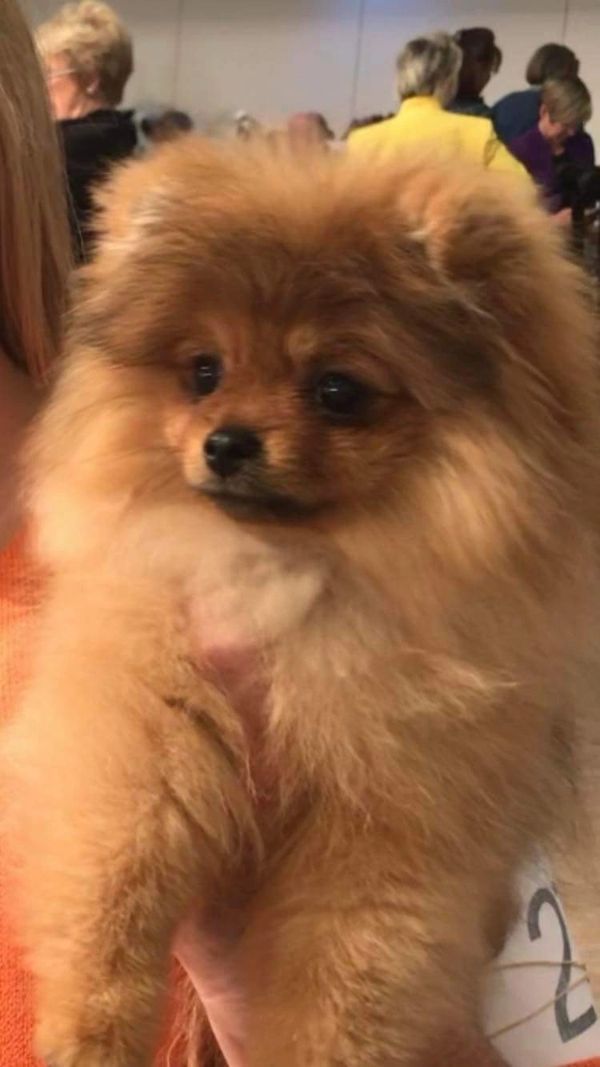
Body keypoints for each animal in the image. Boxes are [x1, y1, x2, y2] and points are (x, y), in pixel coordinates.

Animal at [4, 139, 600, 1067]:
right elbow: (110, 886)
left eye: (337, 390)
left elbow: (343, 981)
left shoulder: (394, 818)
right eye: (203, 372)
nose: (225, 442)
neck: (290, 579)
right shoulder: (136, 725)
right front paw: (89, 1032)